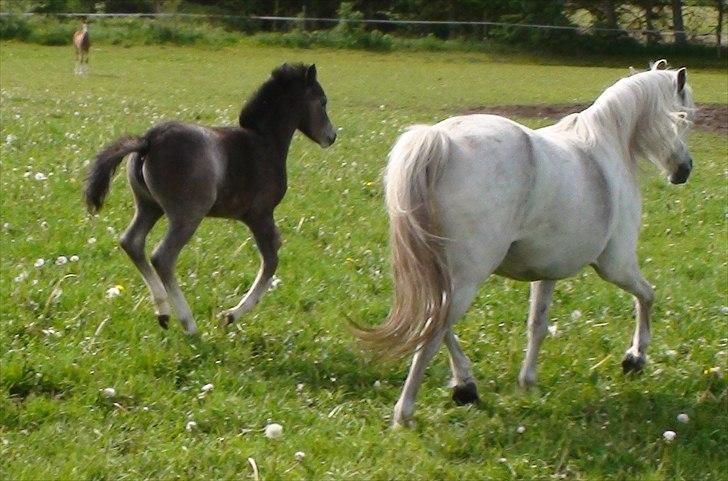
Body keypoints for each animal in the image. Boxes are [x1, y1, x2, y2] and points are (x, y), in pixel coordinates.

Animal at [84, 62, 336, 334]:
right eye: (322, 101)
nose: (331, 137)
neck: (264, 143)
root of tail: (147, 141)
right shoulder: (260, 214)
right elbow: (271, 260)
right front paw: (230, 316)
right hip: (187, 216)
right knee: (162, 257)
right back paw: (189, 325)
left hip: (149, 207)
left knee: (132, 242)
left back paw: (163, 314)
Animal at [356, 58, 692, 426]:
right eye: (683, 117)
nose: (684, 170)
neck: (607, 147)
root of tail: (441, 140)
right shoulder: (616, 265)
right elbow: (647, 296)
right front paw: (635, 357)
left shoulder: (547, 272)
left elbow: (537, 326)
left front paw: (527, 382)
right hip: (468, 279)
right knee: (433, 330)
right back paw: (405, 413)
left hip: (441, 272)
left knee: (436, 322)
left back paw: (465, 386)